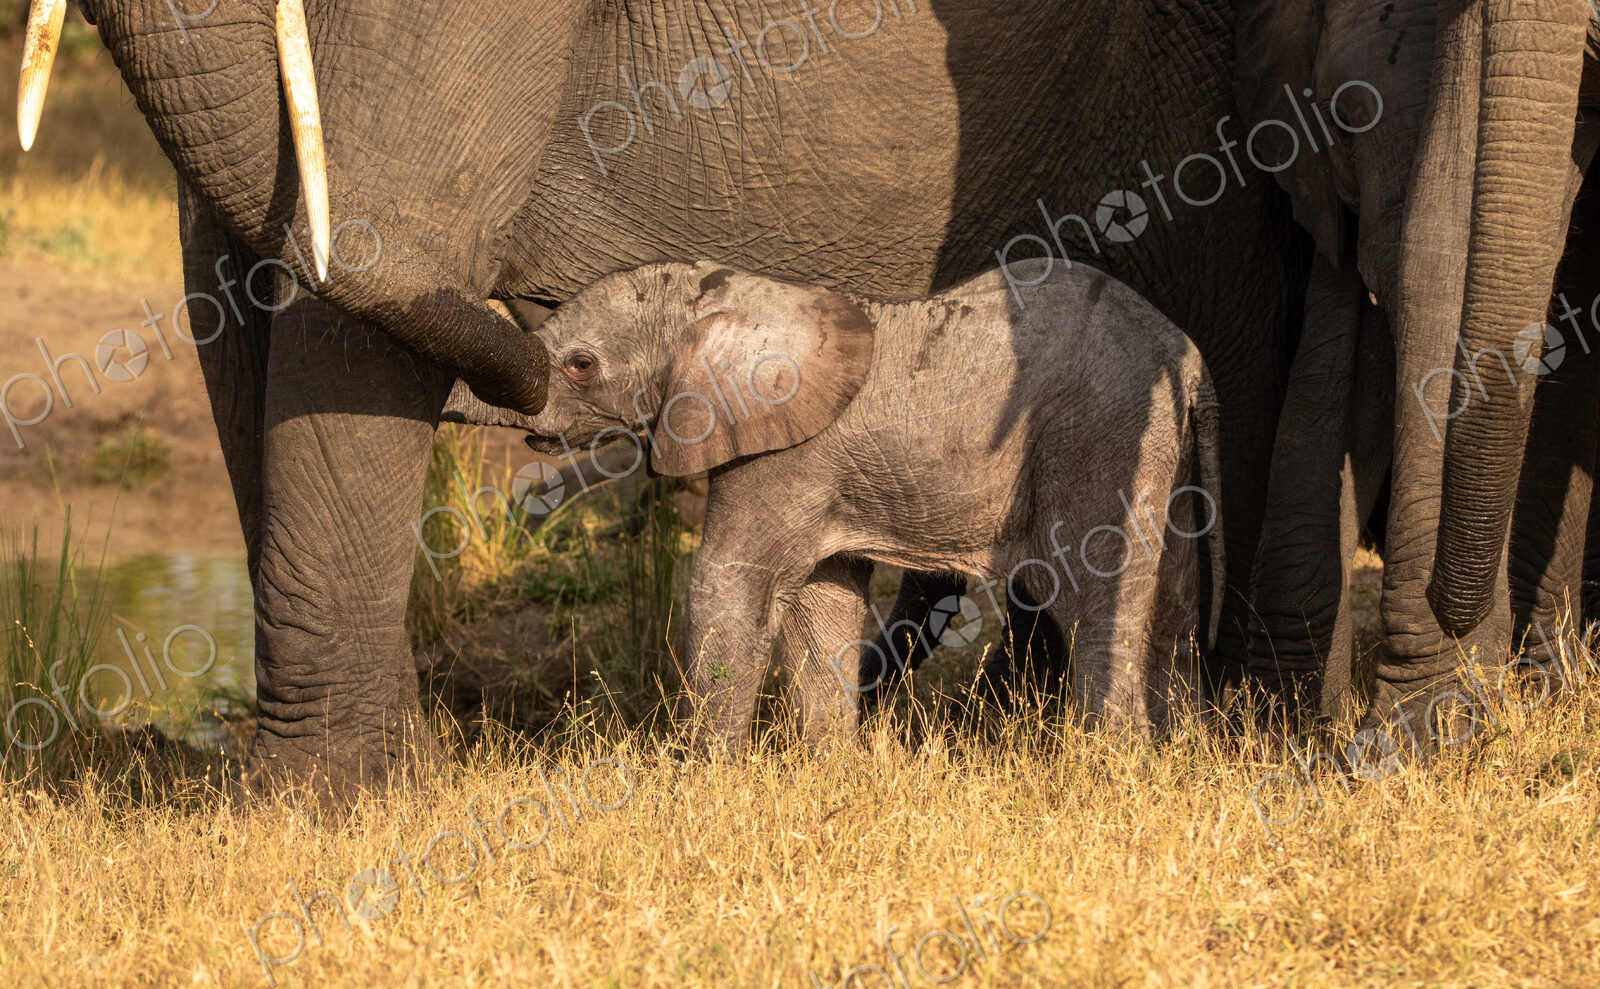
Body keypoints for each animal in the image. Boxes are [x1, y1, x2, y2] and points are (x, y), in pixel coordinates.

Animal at [522, 259, 1225, 751]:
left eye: (581, 365)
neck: (729, 293)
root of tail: (1188, 357)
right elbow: (820, 601)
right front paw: (831, 771)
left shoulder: (779, 456)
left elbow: (729, 584)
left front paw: (705, 782)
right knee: (1175, 608)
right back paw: (1181, 755)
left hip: (1100, 435)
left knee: (1096, 602)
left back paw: (1112, 764)